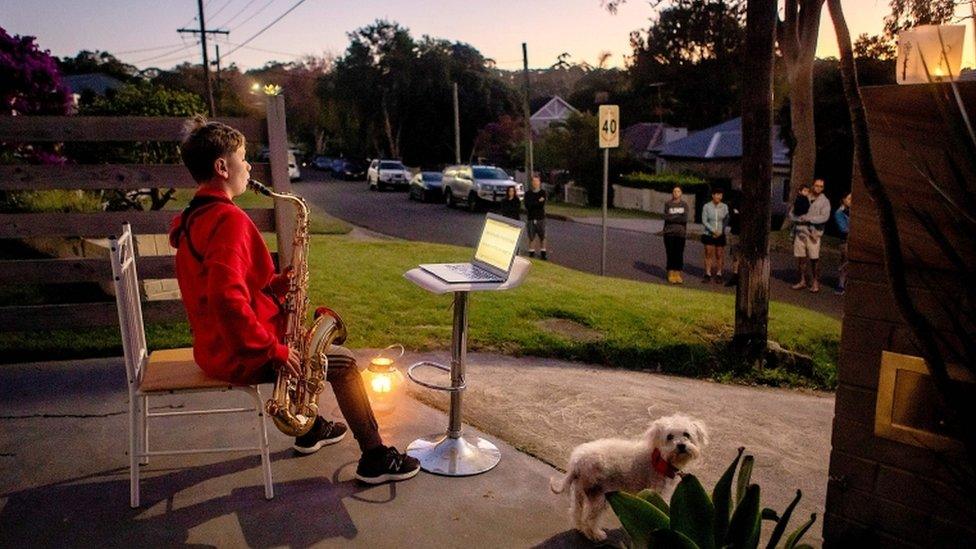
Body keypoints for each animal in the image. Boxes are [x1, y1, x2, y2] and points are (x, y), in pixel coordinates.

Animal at [552, 414, 704, 540]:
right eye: (669, 437)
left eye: (686, 434)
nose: (681, 446)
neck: (661, 458)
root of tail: (577, 461)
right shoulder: (655, 492)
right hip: (598, 496)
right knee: (589, 519)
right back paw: (595, 535)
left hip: (580, 491)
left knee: (575, 512)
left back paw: (580, 529)